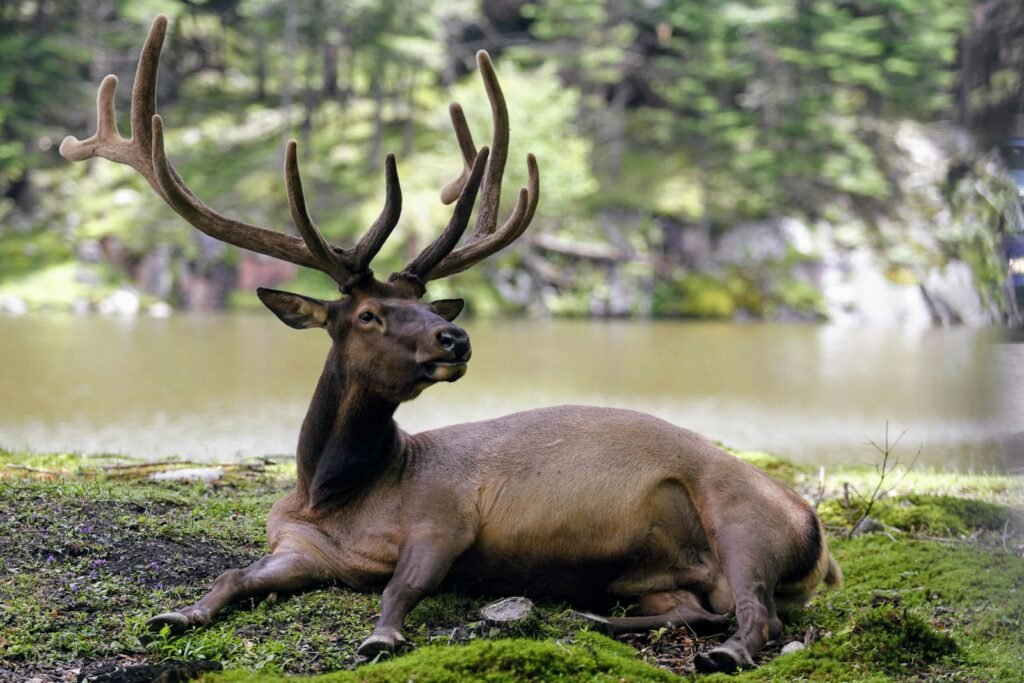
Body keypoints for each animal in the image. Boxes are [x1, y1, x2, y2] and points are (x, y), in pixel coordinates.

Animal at [61, 16, 841, 674]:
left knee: (758, 612)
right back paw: (599, 616)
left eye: (421, 305)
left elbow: (402, 589)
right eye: (369, 313)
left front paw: (382, 636)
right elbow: (230, 575)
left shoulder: (445, 517)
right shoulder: (296, 547)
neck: (336, 495)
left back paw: (724, 651)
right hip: (659, 574)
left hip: (742, 519)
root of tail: (816, 530)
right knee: (690, 606)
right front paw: (176, 612)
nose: (455, 334)